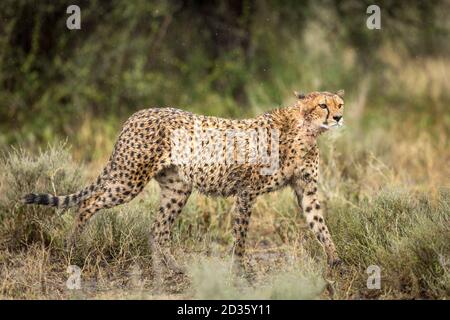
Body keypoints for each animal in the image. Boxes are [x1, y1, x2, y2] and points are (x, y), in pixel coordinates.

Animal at [22, 90, 344, 276]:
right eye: (322, 105)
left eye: (340, 103)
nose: (339, 117)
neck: (306, 131)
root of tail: (136, 114)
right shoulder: (247, 191)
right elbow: (240, 236)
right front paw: (239, 270)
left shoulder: (306, 190)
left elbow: (319, 224)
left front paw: (335, 260)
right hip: (128, 179)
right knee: (88, 203)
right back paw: (71, 249)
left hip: (177, 188)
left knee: (157, 228)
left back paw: (172, 269)